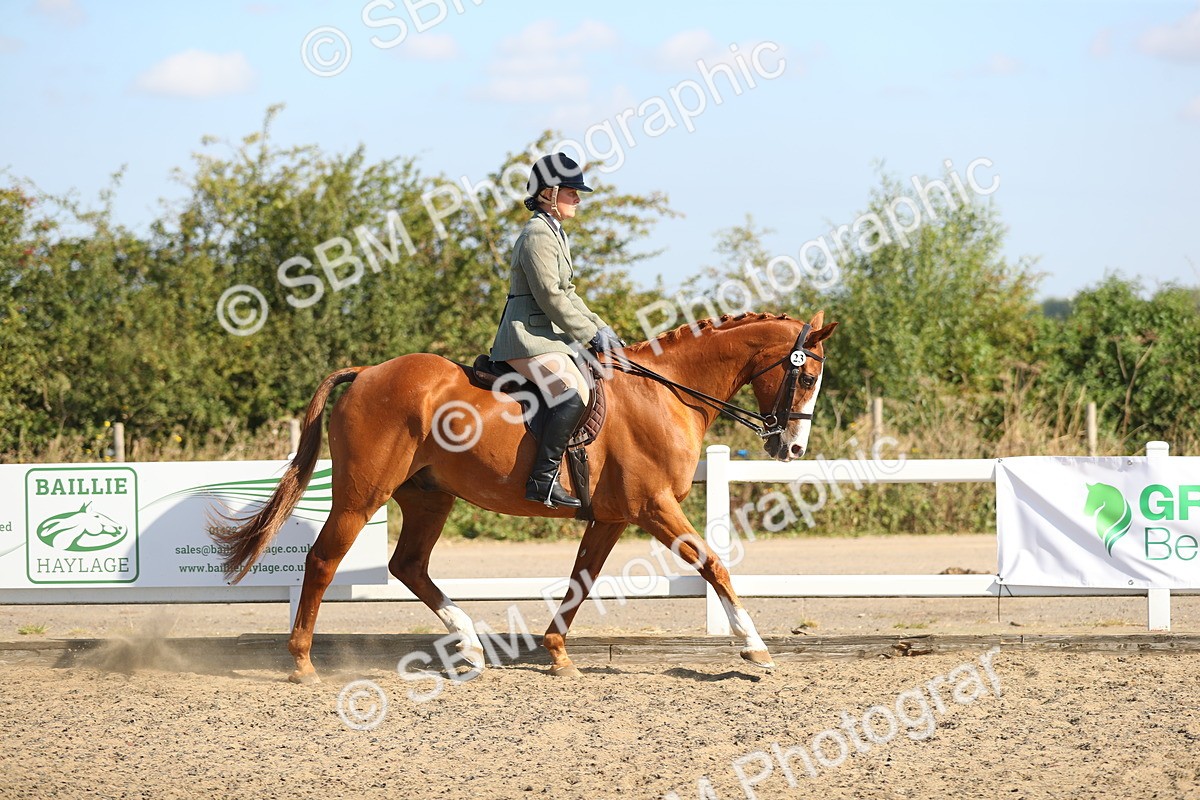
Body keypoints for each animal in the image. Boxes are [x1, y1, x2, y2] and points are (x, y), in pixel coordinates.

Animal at [211, 311, 837, 683]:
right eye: (807, 378)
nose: (792, 448)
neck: (665, 395)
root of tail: (367, 372)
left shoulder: (611, 517)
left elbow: (582, 579)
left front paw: (556, 652)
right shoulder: (654, 506)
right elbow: (713, 565)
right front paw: (754, 648)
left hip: (429, 497)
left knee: (408, 565)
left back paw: (470, 647)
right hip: (363, 495)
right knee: (322, 561)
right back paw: (302, 663)